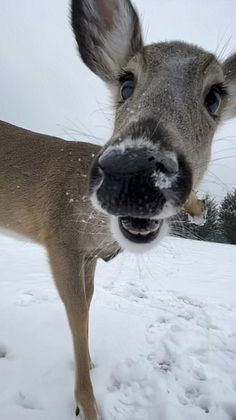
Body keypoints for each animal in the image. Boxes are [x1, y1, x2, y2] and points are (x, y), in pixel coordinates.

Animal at [1, 0, 236, 418]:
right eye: (126, 83)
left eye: (215, 97)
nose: (135, 170)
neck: (98, 230)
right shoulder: (60, 240)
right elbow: (77, 314)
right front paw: (87, 404)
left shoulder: (89, 257)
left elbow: (88, 307)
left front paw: (90, 367)